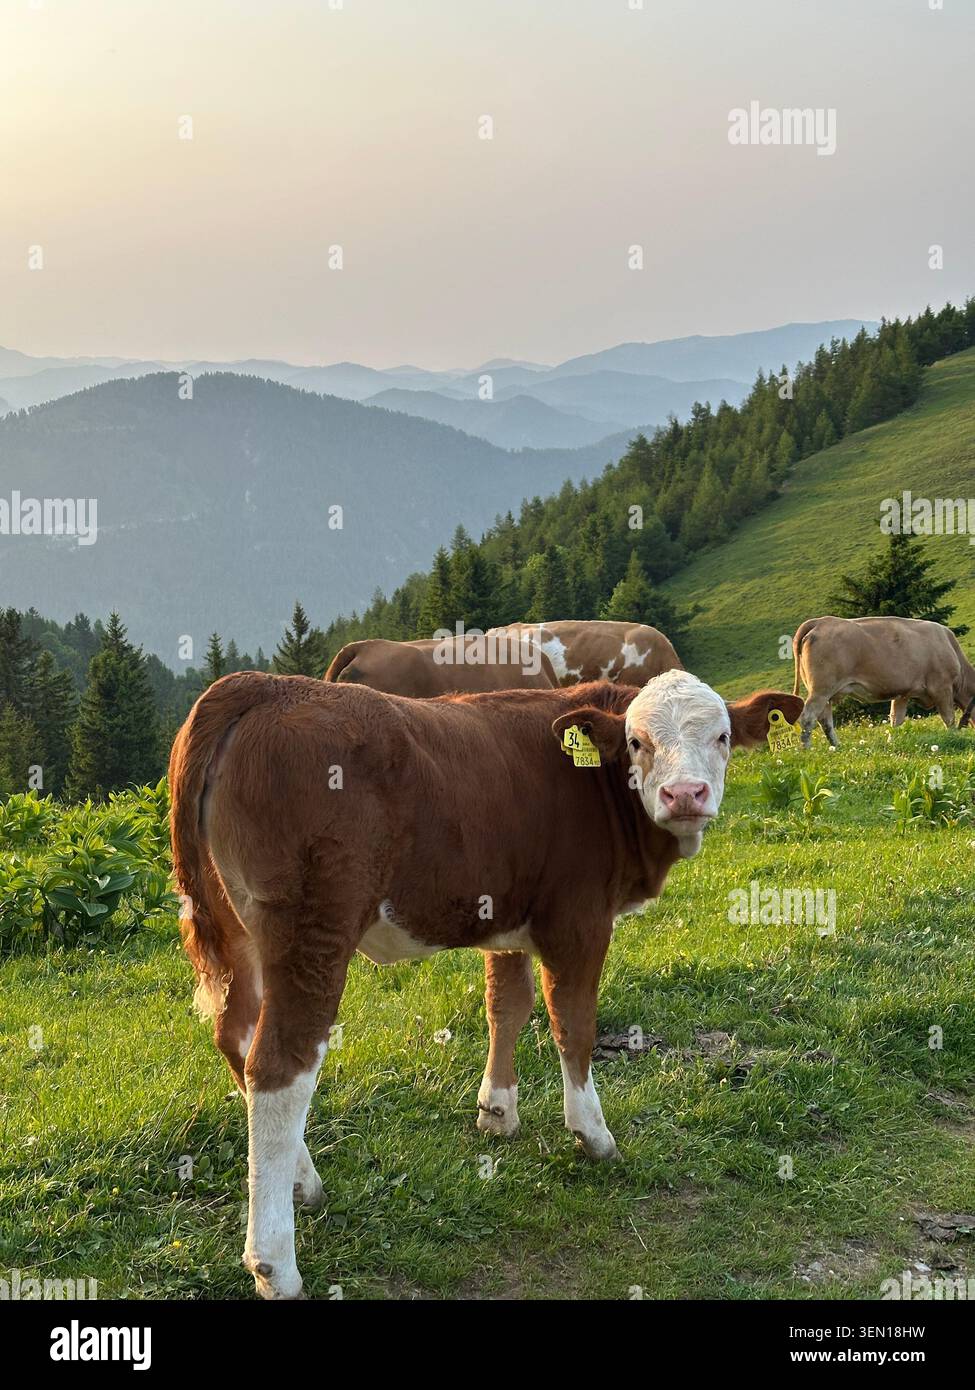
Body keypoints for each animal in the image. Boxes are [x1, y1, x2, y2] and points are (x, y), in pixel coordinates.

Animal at [170, 669, 801, 1299]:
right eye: (638, 742)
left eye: (721, 736)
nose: (686, 795)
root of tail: (259, 686)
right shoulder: (578, 920)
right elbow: (572, 1021)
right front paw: (592, 1134)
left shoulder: (508, 916)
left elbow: (508, 1005)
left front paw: (497, 1111)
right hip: (312, 931)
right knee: (279, 1066)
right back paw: (275, 1262)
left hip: (235, 931)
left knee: (236, 1036)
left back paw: (303, 1181)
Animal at [792, 615, 975, 747]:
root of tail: (820, 621)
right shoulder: (942, 688)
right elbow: (949, 718)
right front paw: (953, 737)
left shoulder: (903, 694)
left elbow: (896, 720)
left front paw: (892, 742)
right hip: (821, 690)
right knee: (808, 718)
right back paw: (806, 749)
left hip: (826, 693)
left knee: (825, 720)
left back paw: (836, 746)